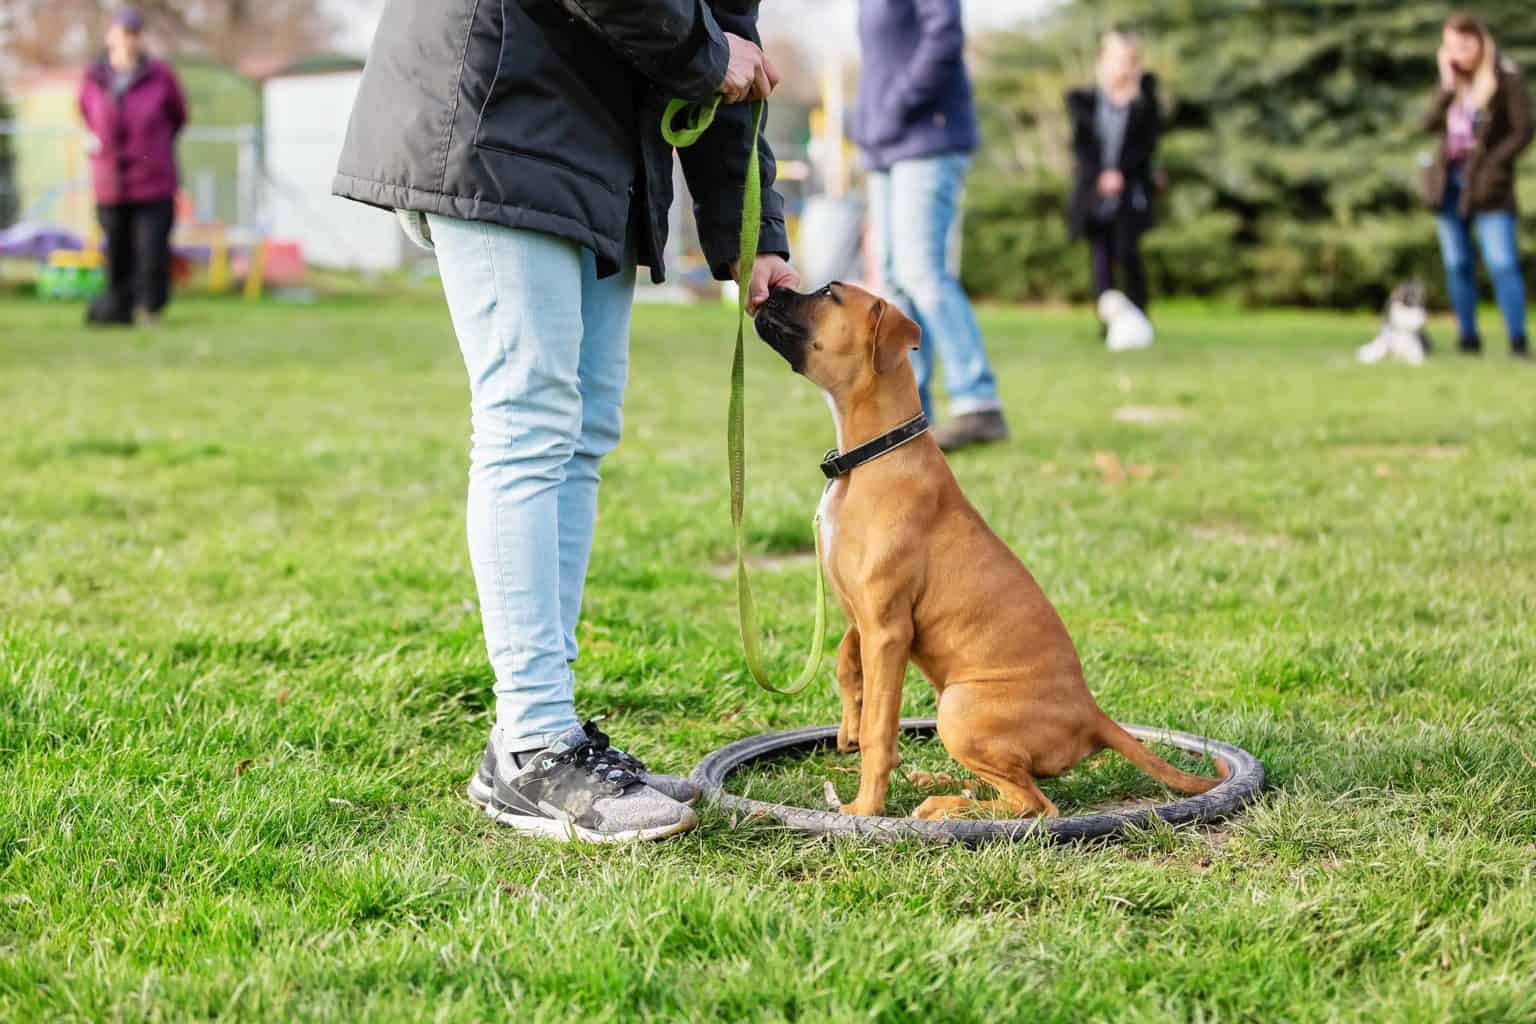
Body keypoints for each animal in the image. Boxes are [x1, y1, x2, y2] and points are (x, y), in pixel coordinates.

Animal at [749, 284, 1216, 822]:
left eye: (829, 293)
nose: (772, 288)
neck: (874, 455)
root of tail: (1093, 715)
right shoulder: (859, 611)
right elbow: (847, 663)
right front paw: (848, 721)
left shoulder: (888, 629)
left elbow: (879, 732)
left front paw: (864, 808)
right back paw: (943, 784)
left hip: (959, 707)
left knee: (1035, 805)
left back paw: (943, 804)